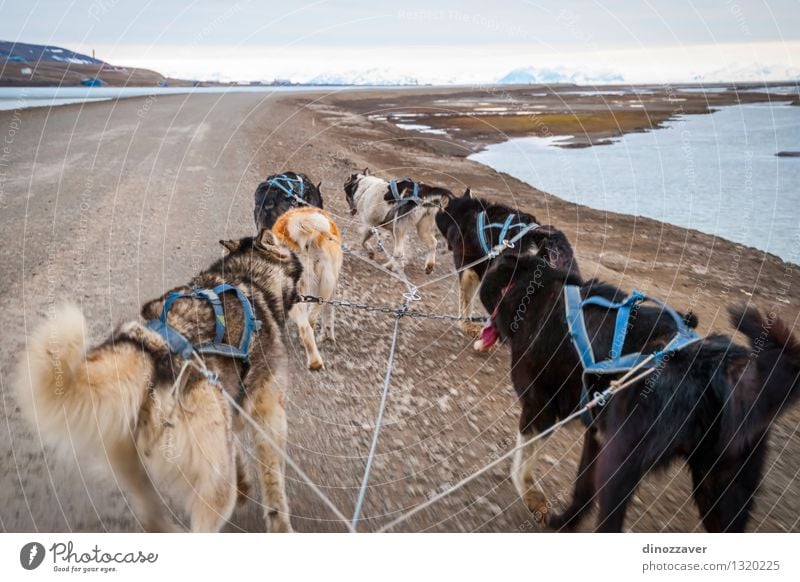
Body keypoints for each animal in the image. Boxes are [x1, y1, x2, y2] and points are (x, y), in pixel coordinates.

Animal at [15, 232, 304, 532]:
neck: (250, 275)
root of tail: (154, 347)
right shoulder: (268, 411)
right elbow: (273, 483)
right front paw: (279, 523)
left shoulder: (229, 409)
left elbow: (236, 452)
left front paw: (245, 482)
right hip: (217, 491)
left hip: (136, 470)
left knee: (151, 516)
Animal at [482, 256, 800, 532]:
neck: (535, 289)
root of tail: (713, 365)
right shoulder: (596, 436)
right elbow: (582, 489)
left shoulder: (540, 409)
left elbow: (521, 466)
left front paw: (533, 498)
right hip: (721, 489)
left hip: (619, 466)